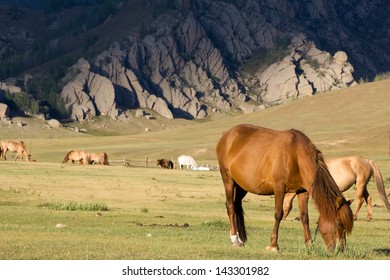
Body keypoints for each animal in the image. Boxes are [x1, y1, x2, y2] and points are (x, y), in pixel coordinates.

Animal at [216, 124, 354, 252]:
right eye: (339, 223)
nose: (341, 250)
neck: (296, 156)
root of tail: (226, 135)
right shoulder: (279, 188)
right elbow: (278, 214)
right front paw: (273, 245)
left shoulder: (302, 191)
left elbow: (304, 216)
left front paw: (309, 244)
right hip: (228, 179)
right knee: (230, 207)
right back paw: (235, 240)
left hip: (241, 186)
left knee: (236, 205)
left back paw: (239, 238)